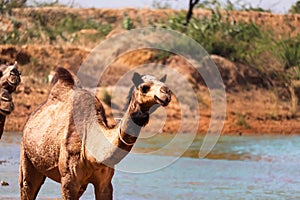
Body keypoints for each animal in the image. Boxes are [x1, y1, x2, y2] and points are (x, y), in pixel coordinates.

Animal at [19, 67, 171, 200]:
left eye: (164, 84)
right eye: (144, 87)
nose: (166, 92)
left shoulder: (104, 183)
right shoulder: (69, 179)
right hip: (27, 158)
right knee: (27, 186)